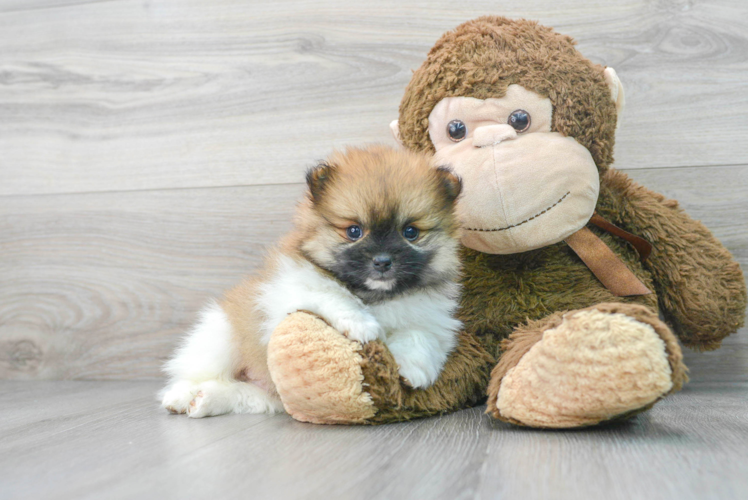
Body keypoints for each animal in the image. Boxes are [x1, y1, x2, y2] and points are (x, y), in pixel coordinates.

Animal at [162, 145, 462, 418]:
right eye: (354, 231)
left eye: (410, 232)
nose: (382, 261)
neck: (374, 297)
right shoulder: (295, 287)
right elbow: (333, 294)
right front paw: (363, 325)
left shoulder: (433, 321)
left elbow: (419, 336)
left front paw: (413, 370)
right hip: (221, 337)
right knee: (194, 372)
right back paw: (182, 396)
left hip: (267, 392)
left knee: (240, 393)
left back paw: (207, 400)